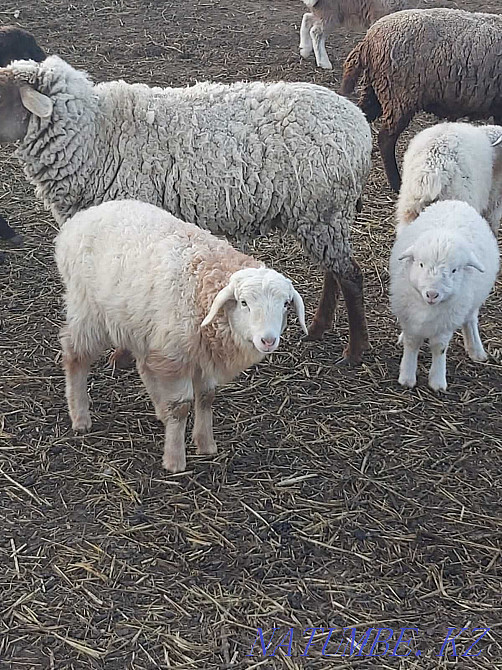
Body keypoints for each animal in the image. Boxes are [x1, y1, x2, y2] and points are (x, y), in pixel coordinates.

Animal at [0, 55, 373, 363]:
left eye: (3, 94)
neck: (97, 137)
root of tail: (358, 124)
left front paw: (122, 356)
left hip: (323, 212)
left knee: (351, 275)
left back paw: (355, 352)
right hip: (323, 215)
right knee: (334, 271)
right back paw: (319, 328)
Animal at [55, 199, 307, 473]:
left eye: (285, 304)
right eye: (243, 303)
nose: (268, 340)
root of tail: (81, 218)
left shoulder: (201, 354)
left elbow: (206, 397)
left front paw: (206, 444)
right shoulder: (176, 354)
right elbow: (181, 407)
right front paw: (175, 460)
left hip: (141, 323)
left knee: (143, 364)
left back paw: (158, 409)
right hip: (88, 310)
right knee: (74, 355)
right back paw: (80, 416)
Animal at [390, 200, 499, 392]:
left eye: (454, 270)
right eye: (421, 264)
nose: (432, 294)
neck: (427, 308)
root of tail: (457, 202)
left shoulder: (446, 322)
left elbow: (439, 347)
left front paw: (438, 381)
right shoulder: (409, 318)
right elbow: (412, 343)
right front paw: (407, 377)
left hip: (471, 302)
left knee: (470, 320)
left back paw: (476, 349)